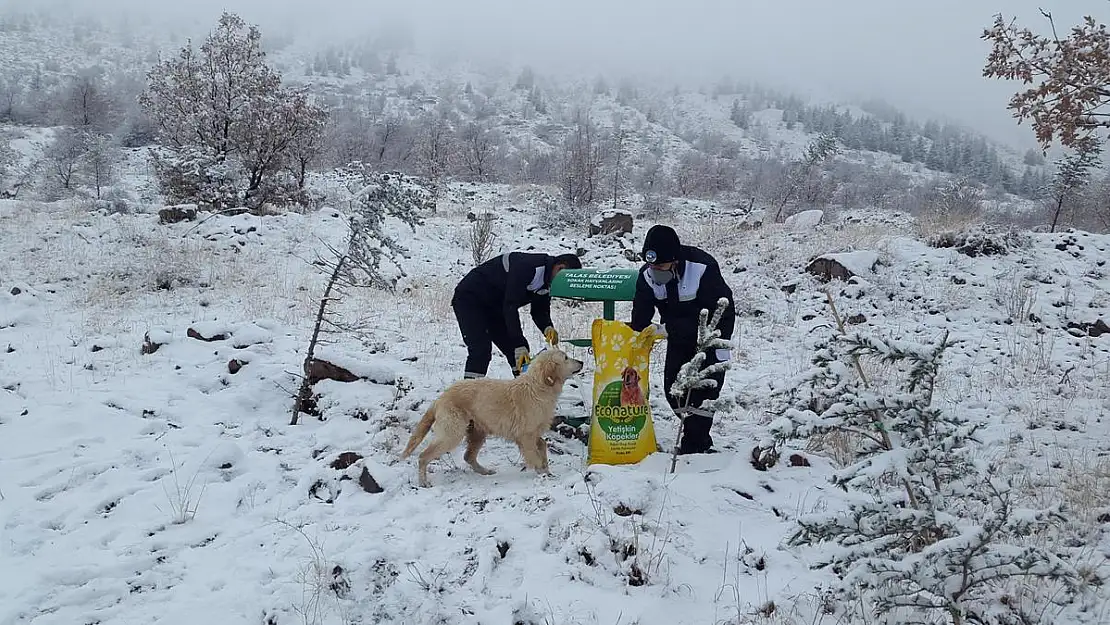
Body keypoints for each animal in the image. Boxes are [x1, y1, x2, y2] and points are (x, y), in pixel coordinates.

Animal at [404, 350, 586, 486]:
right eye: (566, 358)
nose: (582, 362)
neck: (538, 387)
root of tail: (440, 398)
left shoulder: (533, 434)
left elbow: (542, 446)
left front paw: (547, 470)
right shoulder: (526, 436)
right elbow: (534, 456)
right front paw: (543, 474)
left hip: (477, 432)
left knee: (468, 456)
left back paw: (485, 471)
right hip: (452, 434)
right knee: (423, 456)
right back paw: (423, 482)